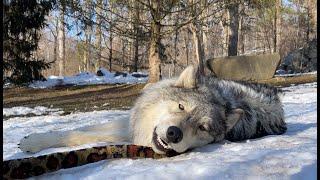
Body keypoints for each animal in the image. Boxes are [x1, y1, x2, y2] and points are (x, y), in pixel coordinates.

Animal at [18, 66, 286, 155]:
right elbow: (75, 133)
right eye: (181, 106)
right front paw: (34, 141)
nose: (174, 134)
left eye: (202, 127)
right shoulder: (127, 124)